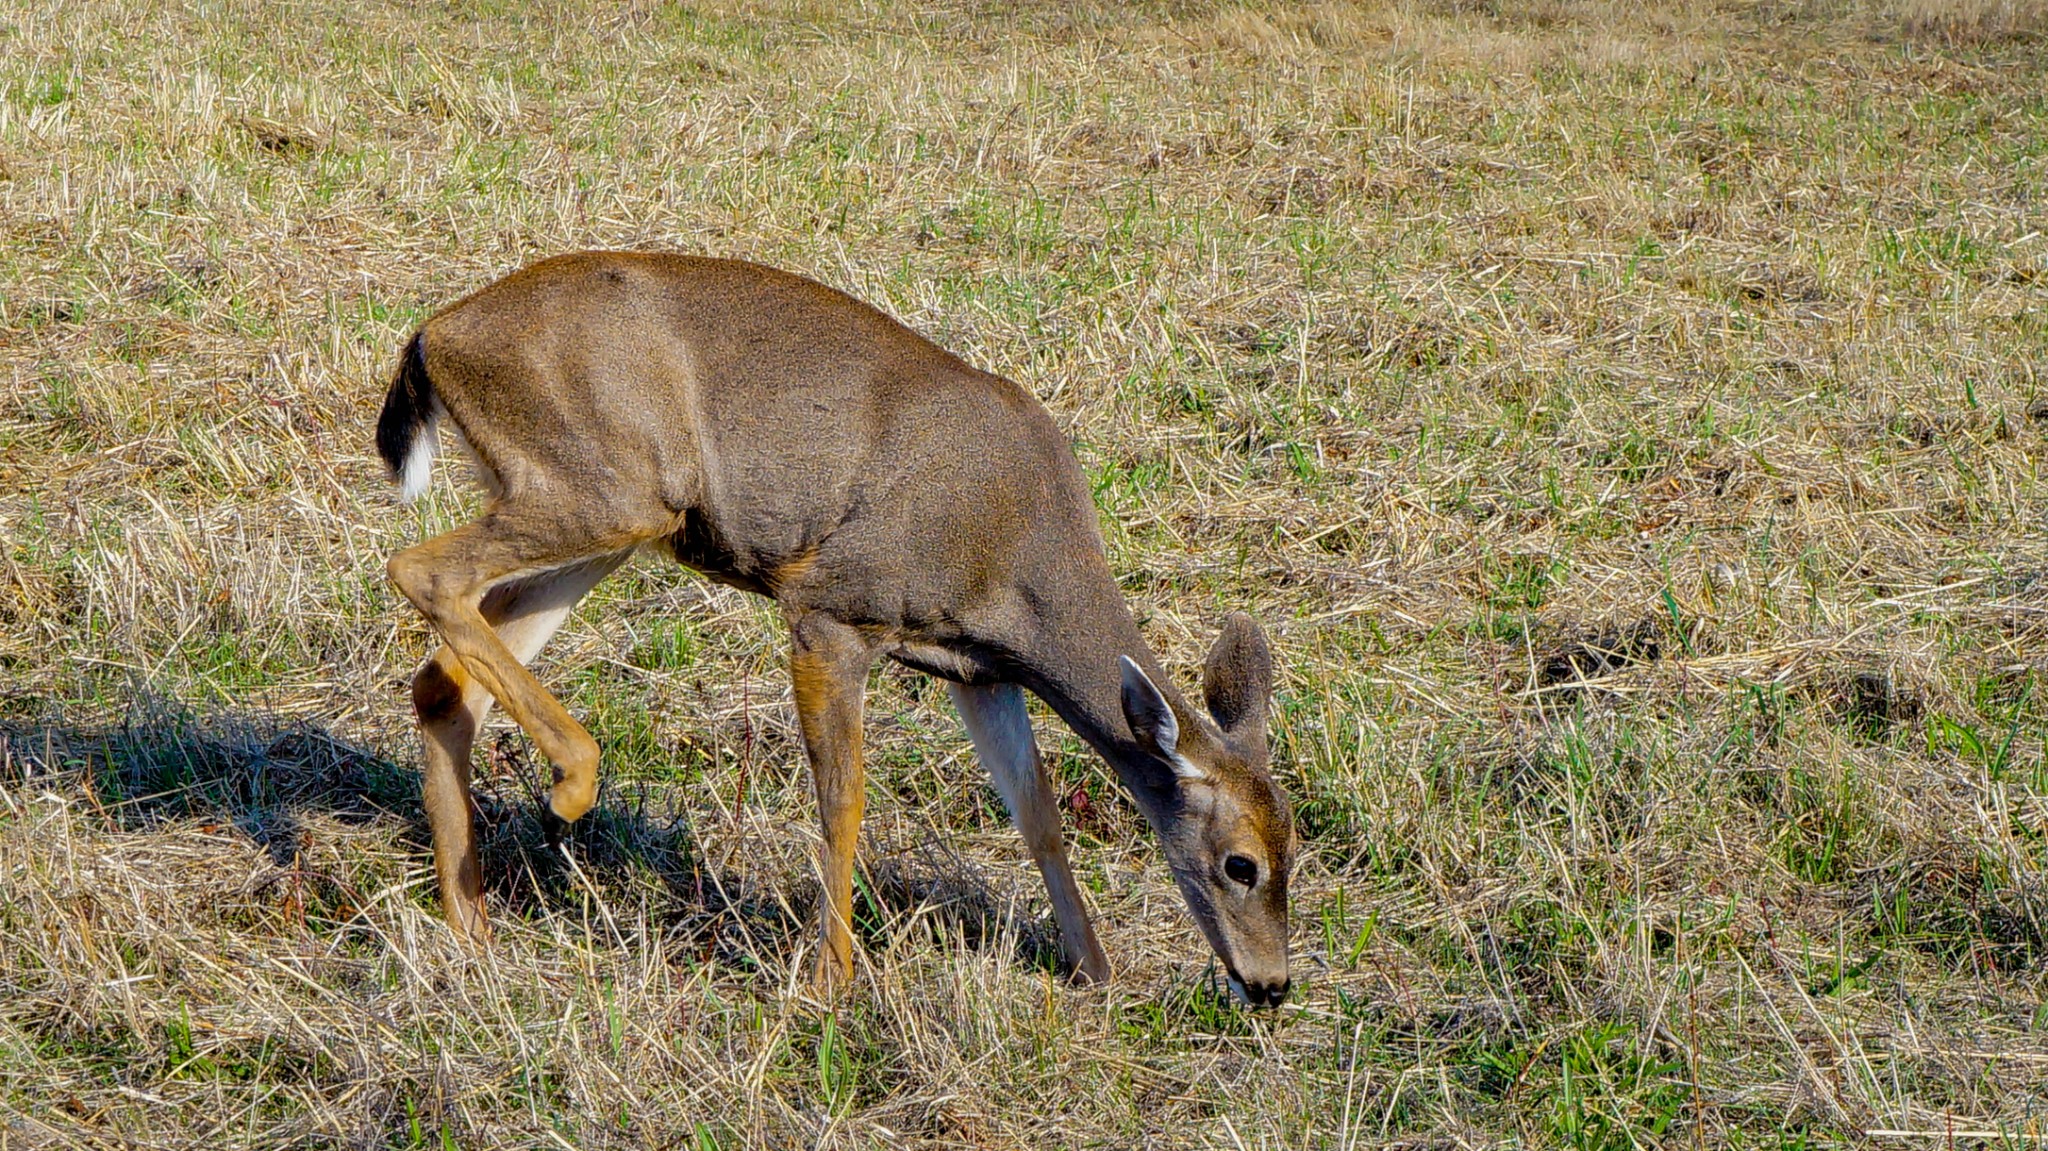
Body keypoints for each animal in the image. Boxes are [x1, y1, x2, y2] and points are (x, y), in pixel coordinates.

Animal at [372, 252, 1294, 1003]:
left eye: (1295, 851)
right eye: (1240, 862)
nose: (1272, 985)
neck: (1020, 553)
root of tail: (430, 337)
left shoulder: (978, 670)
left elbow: (1037, 812)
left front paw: (1093, 969)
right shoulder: (830, 608)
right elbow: (842, 799)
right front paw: (832, 978)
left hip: (607, 514)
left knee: (444, 680)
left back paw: (471, 926)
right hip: (603, 487)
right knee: (419, 569)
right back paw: (571, 782)